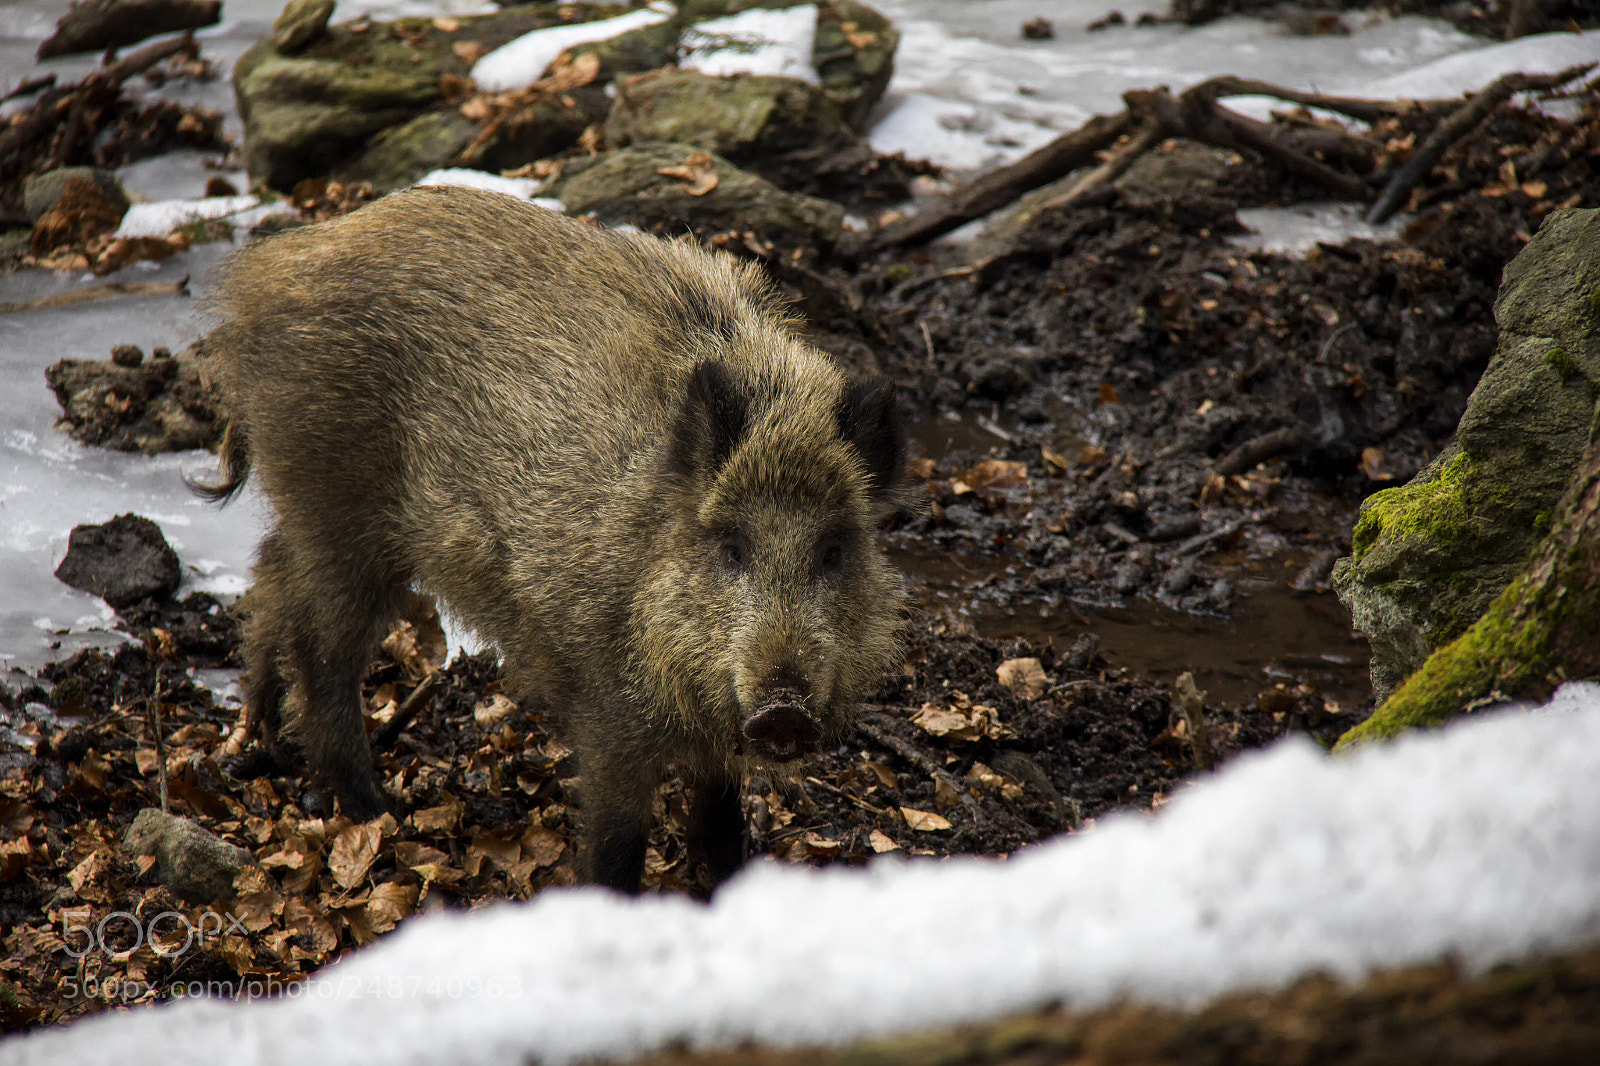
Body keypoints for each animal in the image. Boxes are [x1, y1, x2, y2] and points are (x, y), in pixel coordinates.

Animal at [198, 185, 906, 892]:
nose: (784, 709)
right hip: (337, 509)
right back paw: (377, 811)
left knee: (272, 574)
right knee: (322, 651)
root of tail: (269, 271)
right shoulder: (613, 713)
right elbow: (619, 843)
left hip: (314, 513)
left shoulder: (717, 735)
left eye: (834, 550)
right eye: (731, 546)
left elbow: (720, 823)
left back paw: (262, 739)